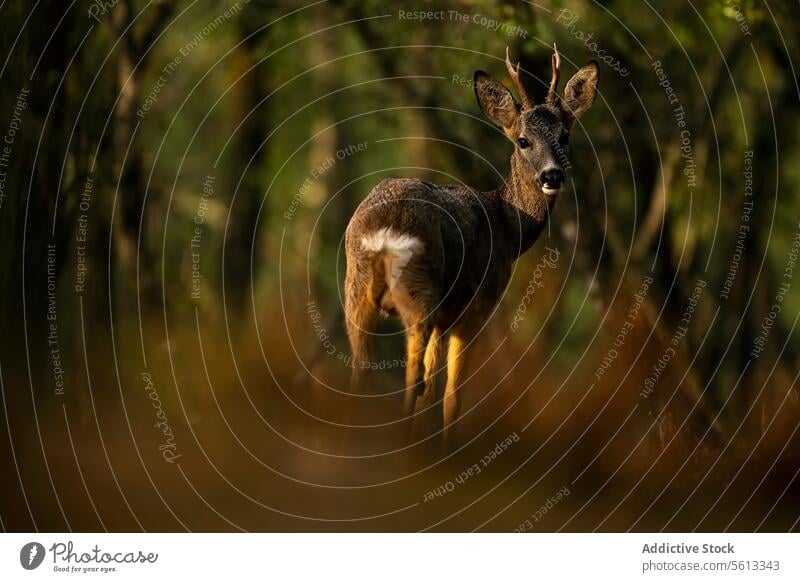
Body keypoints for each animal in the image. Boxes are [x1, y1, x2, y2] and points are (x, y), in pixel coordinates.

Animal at [344, 46, 600, 442]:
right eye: (522, 140)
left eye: (565, 135)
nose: (552, 175)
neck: (507, 224)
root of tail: (383, 230)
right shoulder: (477, 306)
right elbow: (451, 396)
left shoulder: (446, 316)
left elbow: (431, 392)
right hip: (420, 290)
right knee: (411, 380)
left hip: (356, 292)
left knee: (364, 373)